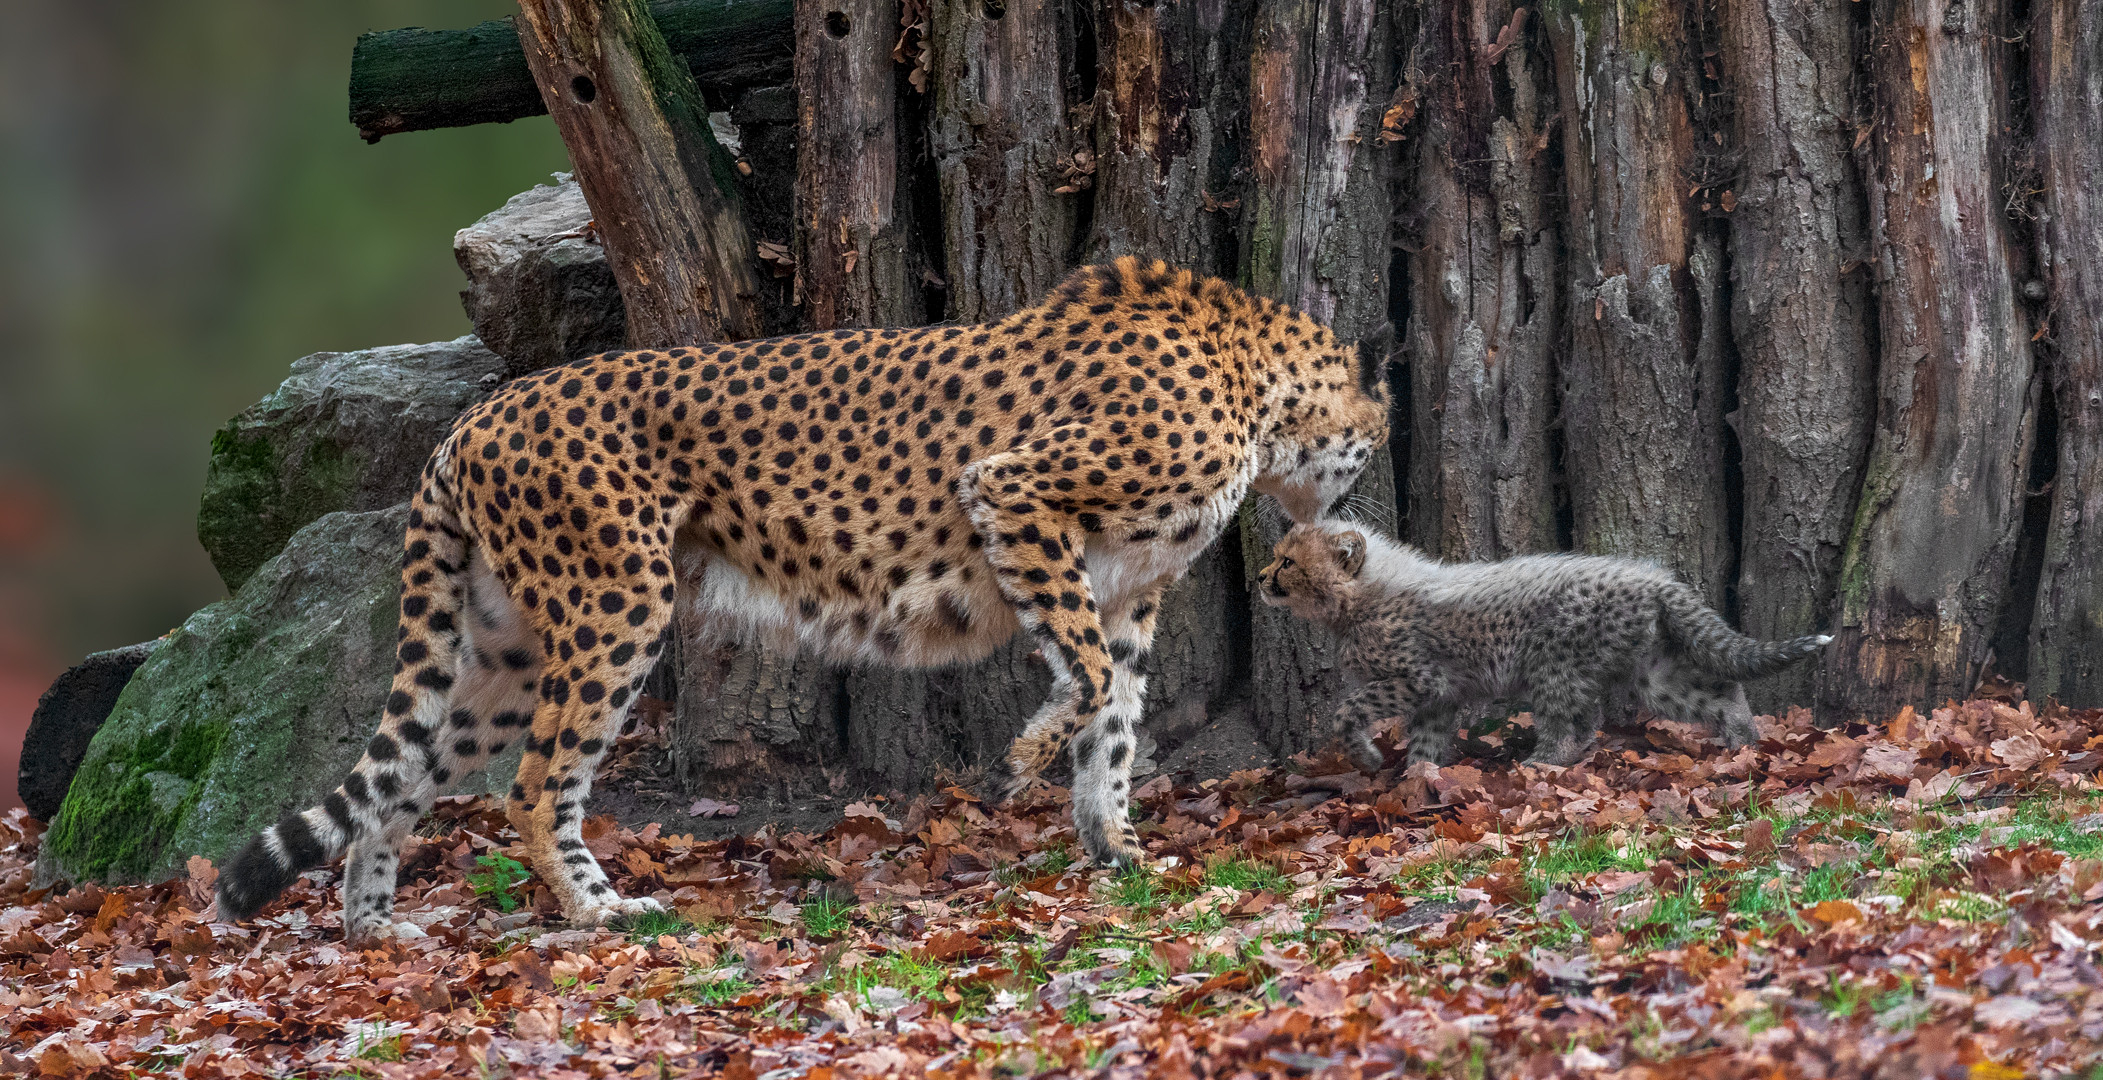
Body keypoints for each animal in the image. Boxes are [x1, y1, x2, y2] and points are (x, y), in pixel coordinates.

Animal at [217, 256, 1396, 937]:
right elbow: (1092, 680)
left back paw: (375, 925)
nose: (1355, 500)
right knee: (537, 782)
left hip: (508, 648)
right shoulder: (1009, 493)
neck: (1257, 388)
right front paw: (1028, 755)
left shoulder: (1124, 586)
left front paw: (1113, 849)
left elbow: (1118, 716)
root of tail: (478, 415)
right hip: (618, 606)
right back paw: (604, 912)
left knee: (406, 775)